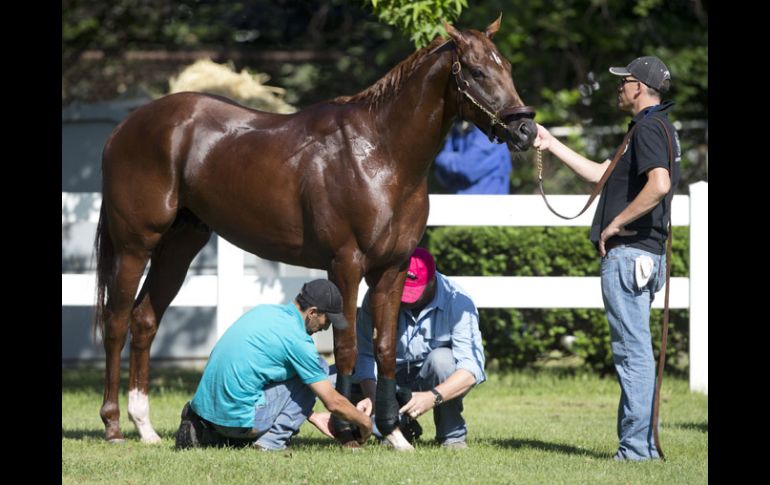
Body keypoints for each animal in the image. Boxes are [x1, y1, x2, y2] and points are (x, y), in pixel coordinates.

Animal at [93, 18, 532, 450]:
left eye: (509, 67)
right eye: (476, 71)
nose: (526, 129)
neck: (381, 154)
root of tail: (124, 128)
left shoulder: (392, 268)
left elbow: (384, 348)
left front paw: (392, 432)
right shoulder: (345, 264)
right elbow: (348, 347)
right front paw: (348, 430)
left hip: (180, 244)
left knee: (145, 320)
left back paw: (145, 427)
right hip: (135, 245)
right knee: (116, 321)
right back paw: (113, 426)